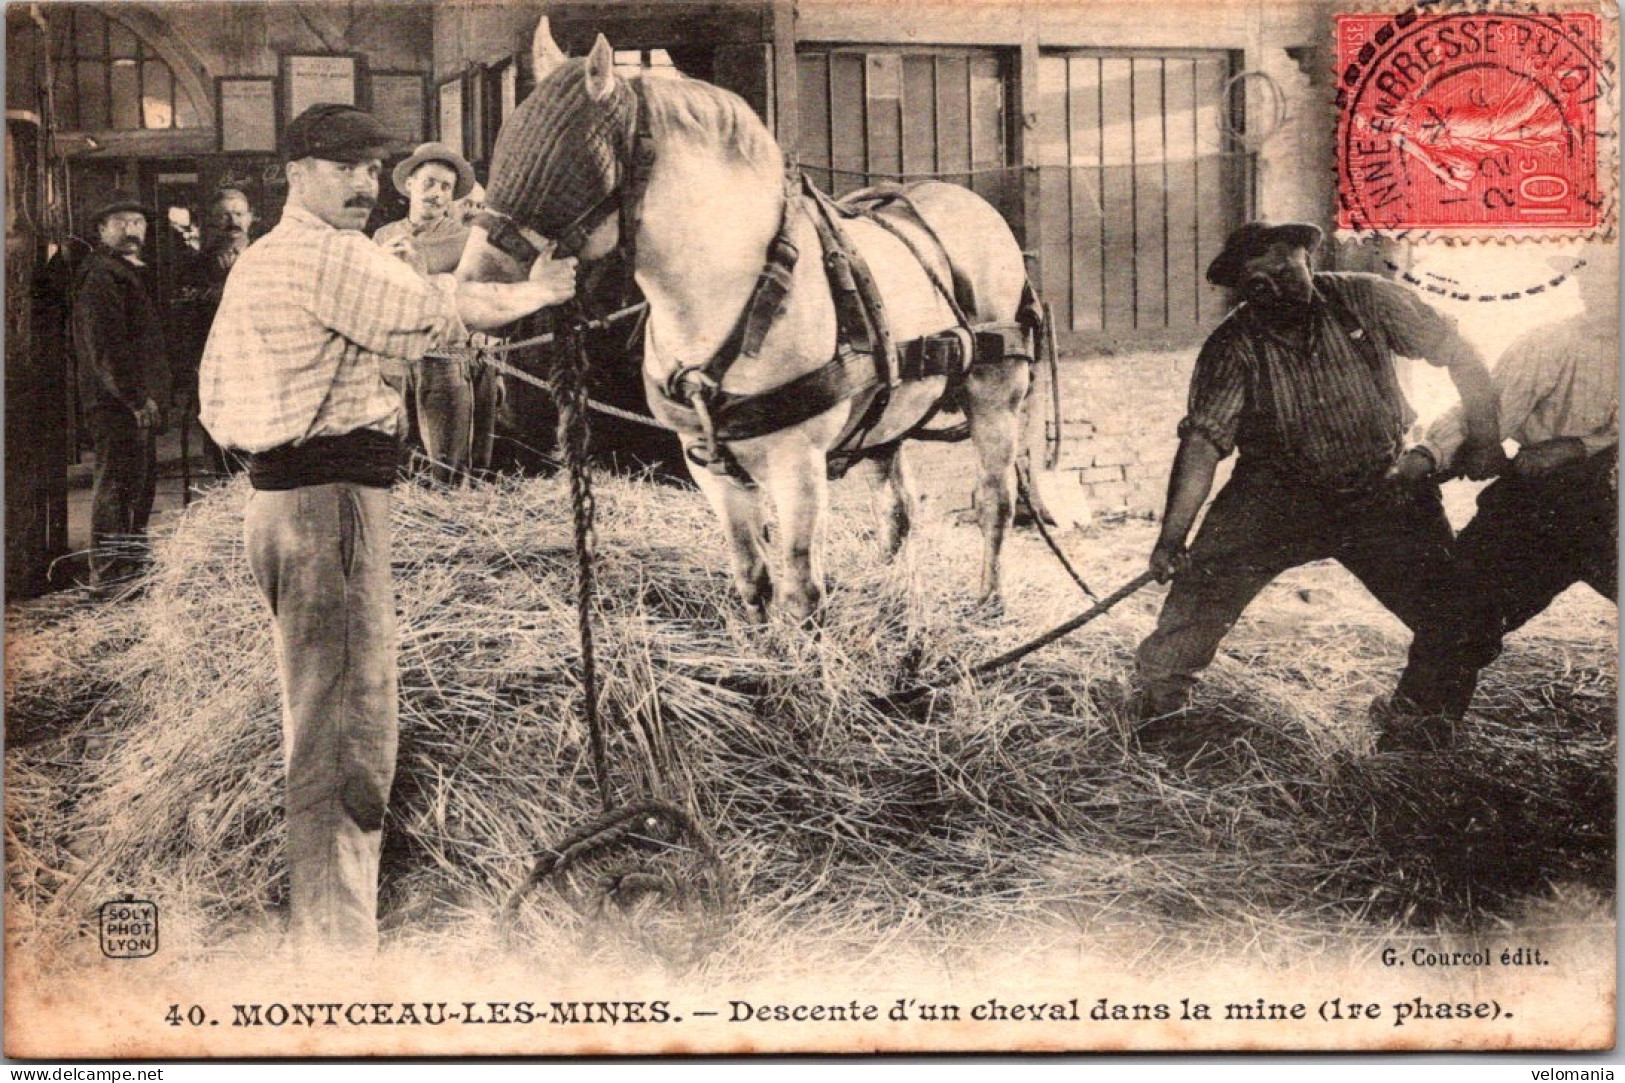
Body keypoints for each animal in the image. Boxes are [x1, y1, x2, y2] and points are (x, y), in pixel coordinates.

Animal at [458, 21, 1033, 621]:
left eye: (565, 166)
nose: (471, 291)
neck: (731, 297)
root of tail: (969, 201)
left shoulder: (797, 463)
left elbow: (800, 589)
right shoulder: (708, 464)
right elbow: (752, 577)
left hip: (997, 393)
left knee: (995, 501)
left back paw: (989, 601)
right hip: (889, 413)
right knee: (897, 508)